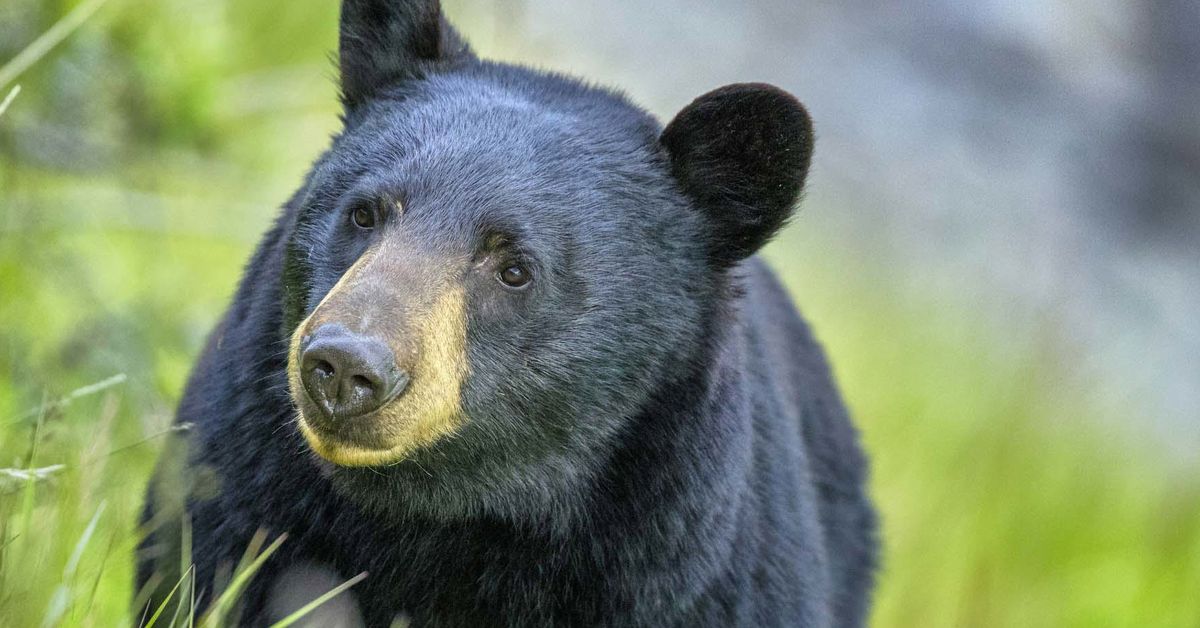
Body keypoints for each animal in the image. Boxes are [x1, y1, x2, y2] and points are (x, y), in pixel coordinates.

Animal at [137, 0, 878, 625]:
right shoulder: (237, 488)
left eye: (514, 268)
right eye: (364, 213)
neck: (448, 514)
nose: (346, 366)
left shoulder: (694, 575)